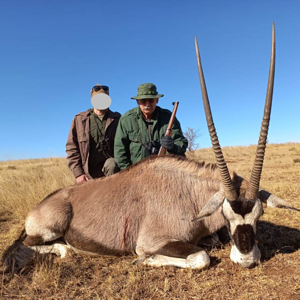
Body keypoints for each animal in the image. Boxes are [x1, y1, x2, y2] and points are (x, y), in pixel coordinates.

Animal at [1, 23, 298, 272]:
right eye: (226, 214)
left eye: (260, 214)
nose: (246, 259)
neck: (189, 194)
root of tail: (42, 204)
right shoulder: (153, 240)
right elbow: (199, 257)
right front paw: (145, 260)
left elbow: (210, 244)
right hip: (48, 230)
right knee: (32, 245)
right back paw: (66, 249)